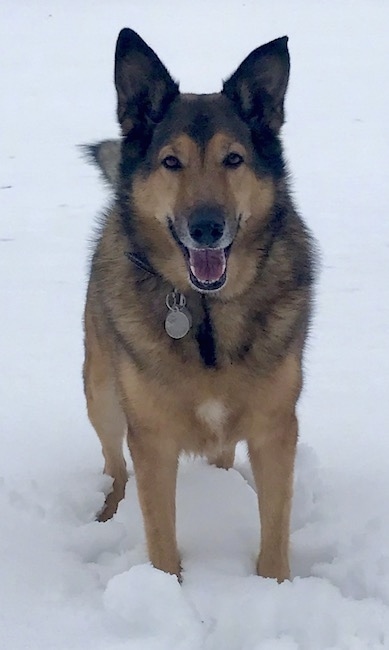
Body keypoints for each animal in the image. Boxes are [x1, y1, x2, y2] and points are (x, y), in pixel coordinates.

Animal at [82, 26, 316, 584]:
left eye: (234, 159)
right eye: (172, 162)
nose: (207, 227)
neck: (207, 314)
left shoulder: (276, 429)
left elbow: (275, 532)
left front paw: (274, 588)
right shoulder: (150, 438)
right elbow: (160, 538)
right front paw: (165, 593)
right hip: (101, 393)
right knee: (114, 467)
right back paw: (108, 512)